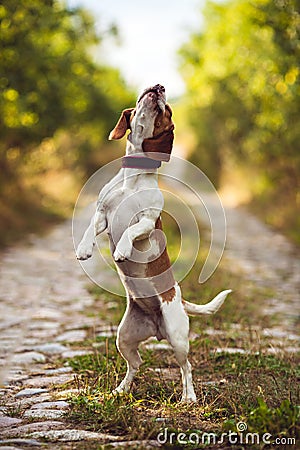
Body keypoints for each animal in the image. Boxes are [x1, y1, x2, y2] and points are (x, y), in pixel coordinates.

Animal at [76, 83, 231, 400]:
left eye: (166, 109)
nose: (158, 86)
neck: (132, 178)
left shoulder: (147, 222)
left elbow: (131, 231)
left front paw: (123, 250)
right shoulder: (101, 215)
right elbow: (89, 229)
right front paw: (84, 249)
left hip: (177, 337)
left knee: (186, 368)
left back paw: (189, 398)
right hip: (124, 338)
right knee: (135, 363)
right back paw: (120, 390)